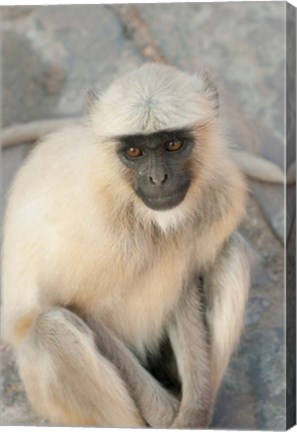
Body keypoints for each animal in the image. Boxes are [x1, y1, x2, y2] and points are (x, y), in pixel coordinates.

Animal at [1, 63, 250, 428]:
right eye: (135, 151)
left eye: (173, 144)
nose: (158, 179)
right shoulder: (94, 228)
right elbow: (74, 306)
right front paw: (167, 414)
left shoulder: (218, 198)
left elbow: (184, 287)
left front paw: (193, 415)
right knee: (51, 327)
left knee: (234, 253)